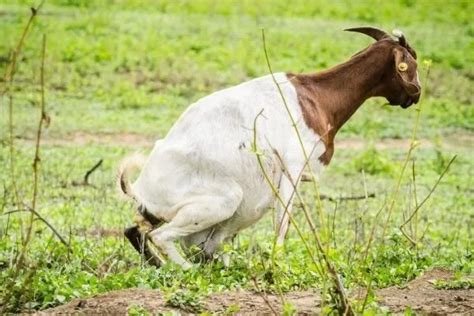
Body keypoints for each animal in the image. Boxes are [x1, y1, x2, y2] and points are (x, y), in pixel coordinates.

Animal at [119, 27, 422, 270]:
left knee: (136, 230)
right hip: (225, 200)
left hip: (165, 214)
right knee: (159, 236)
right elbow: (282, 223)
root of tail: (140, 187)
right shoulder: (292, 170)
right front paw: (276, 266)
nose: (416, 93)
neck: (315, 96)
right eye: (411, 63)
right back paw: (188, 269)